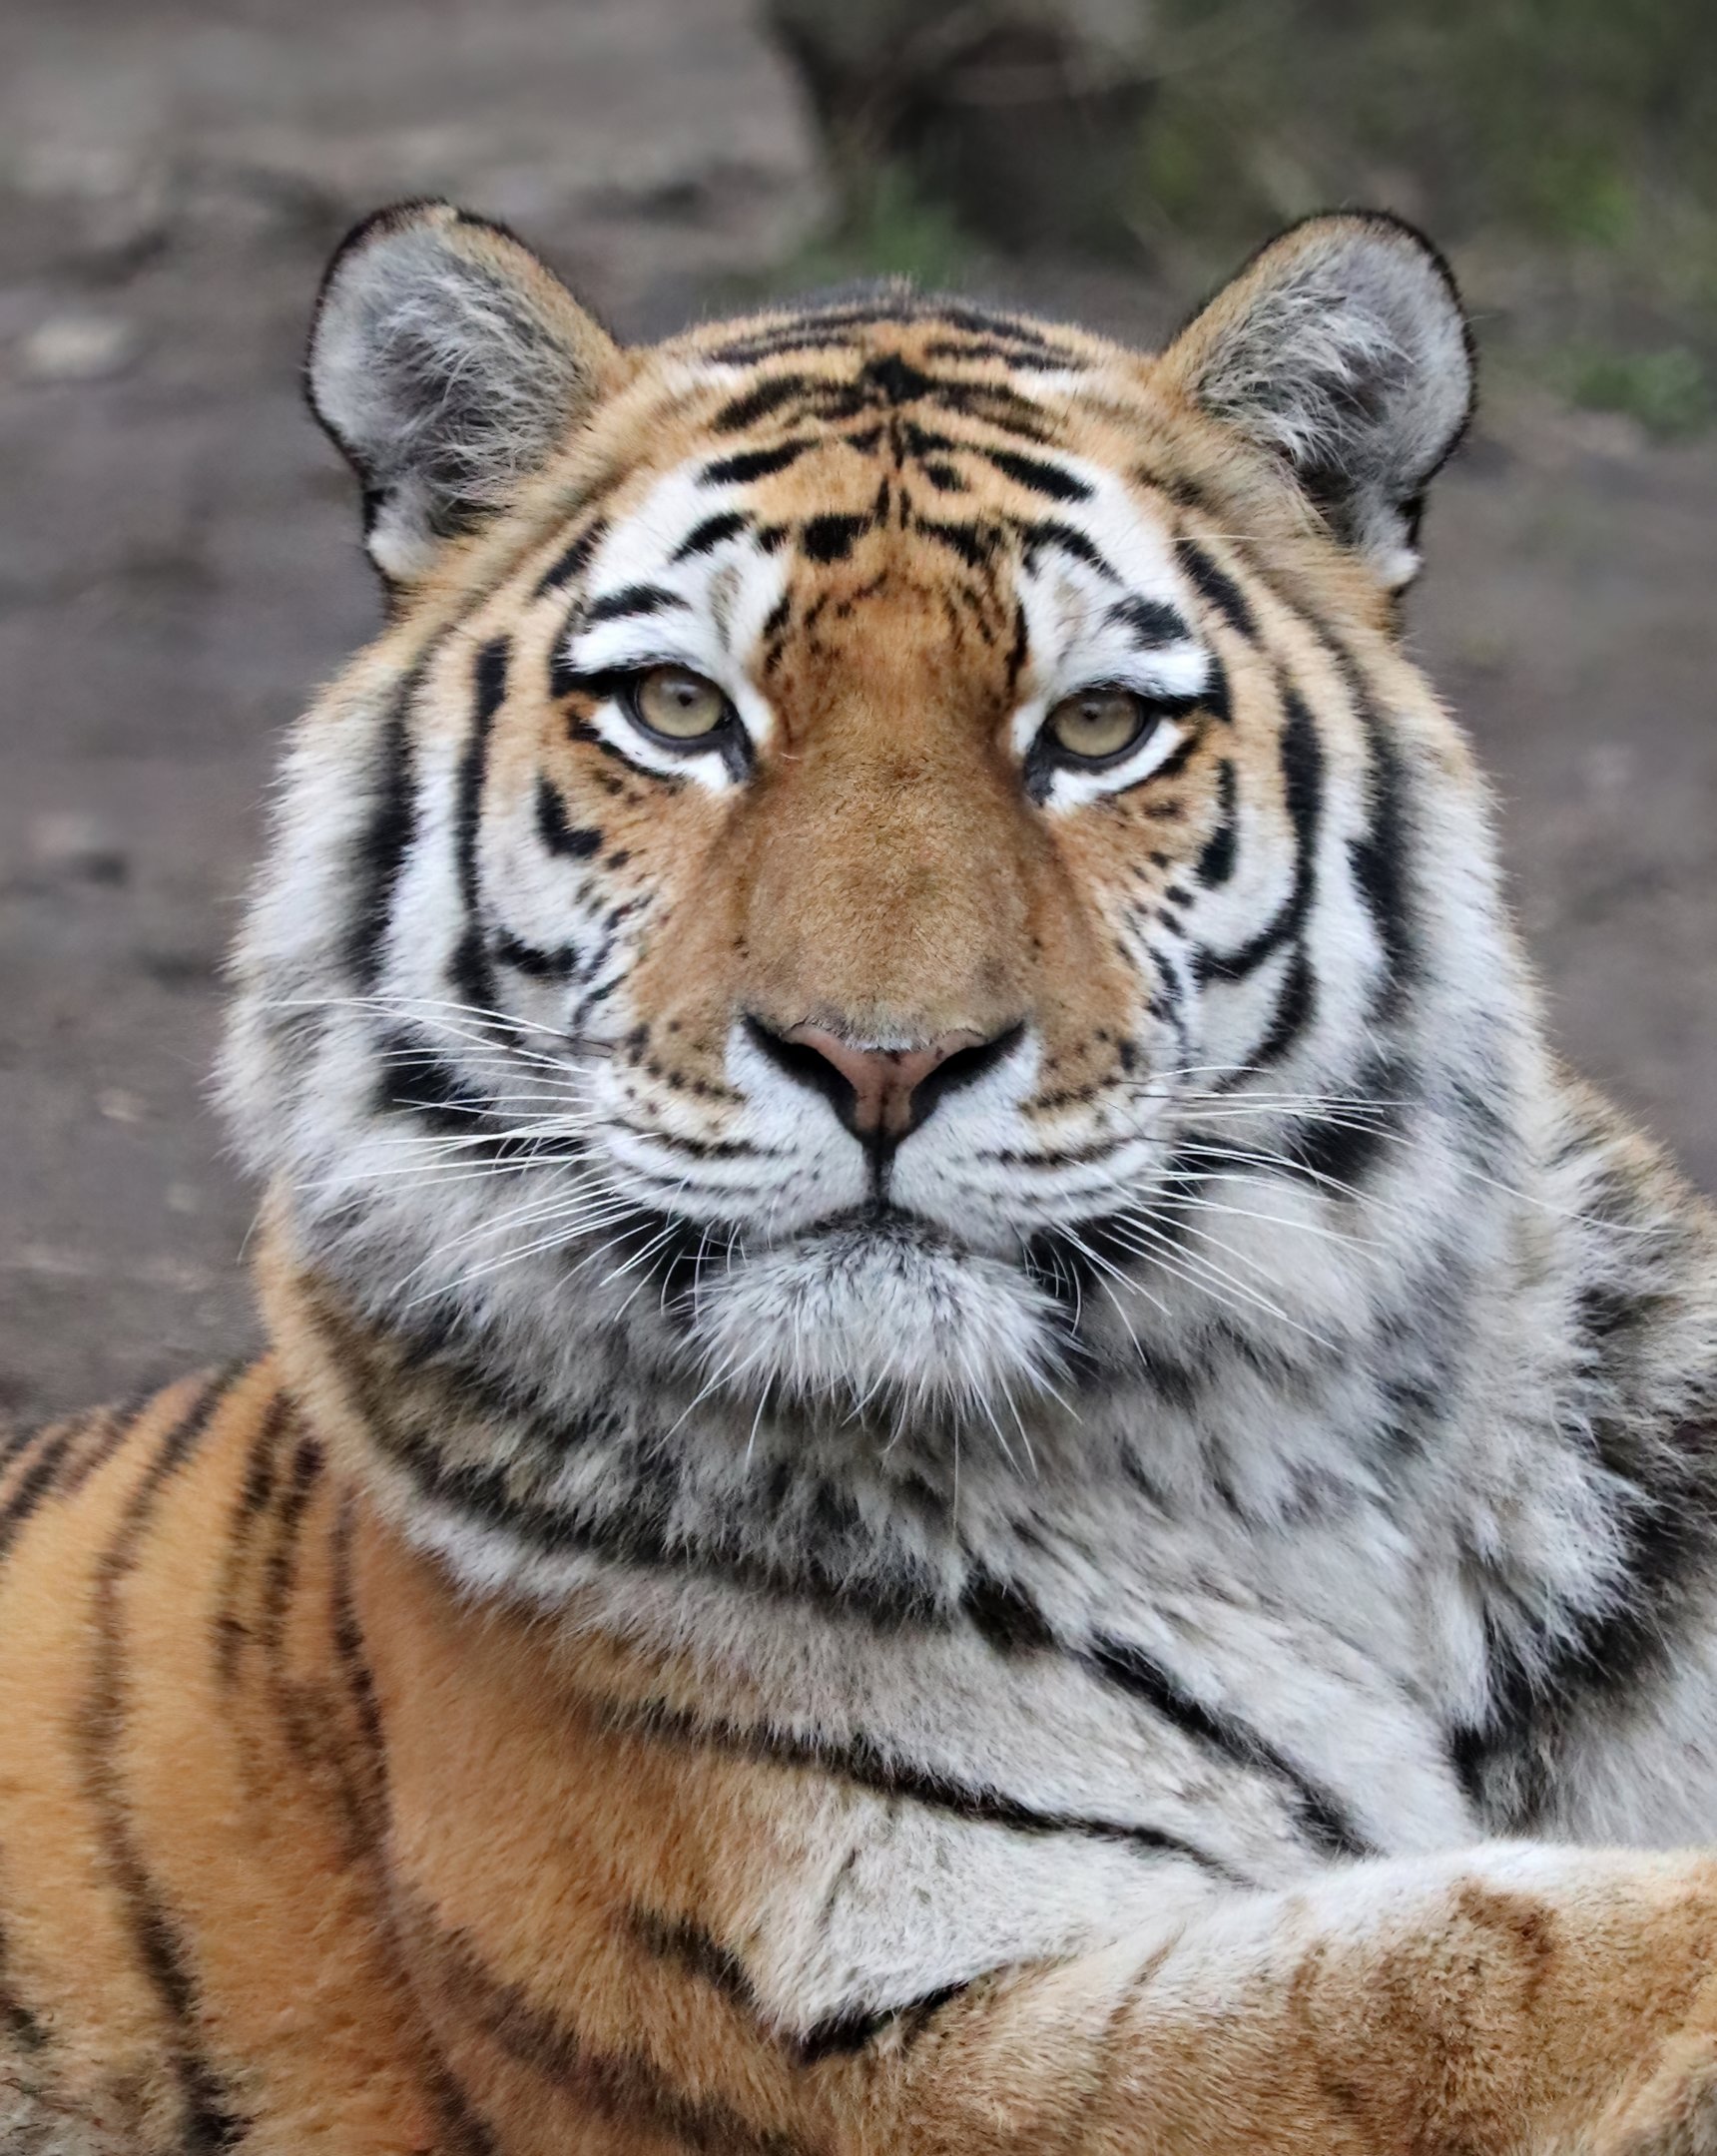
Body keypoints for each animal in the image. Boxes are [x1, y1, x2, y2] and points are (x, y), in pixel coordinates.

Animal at [8, 193, 1717, 2156]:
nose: (879, 1061)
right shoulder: (850, 2033)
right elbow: (1459, 1979)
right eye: (680, 709)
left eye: (1095, 730)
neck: (1313, 1486)